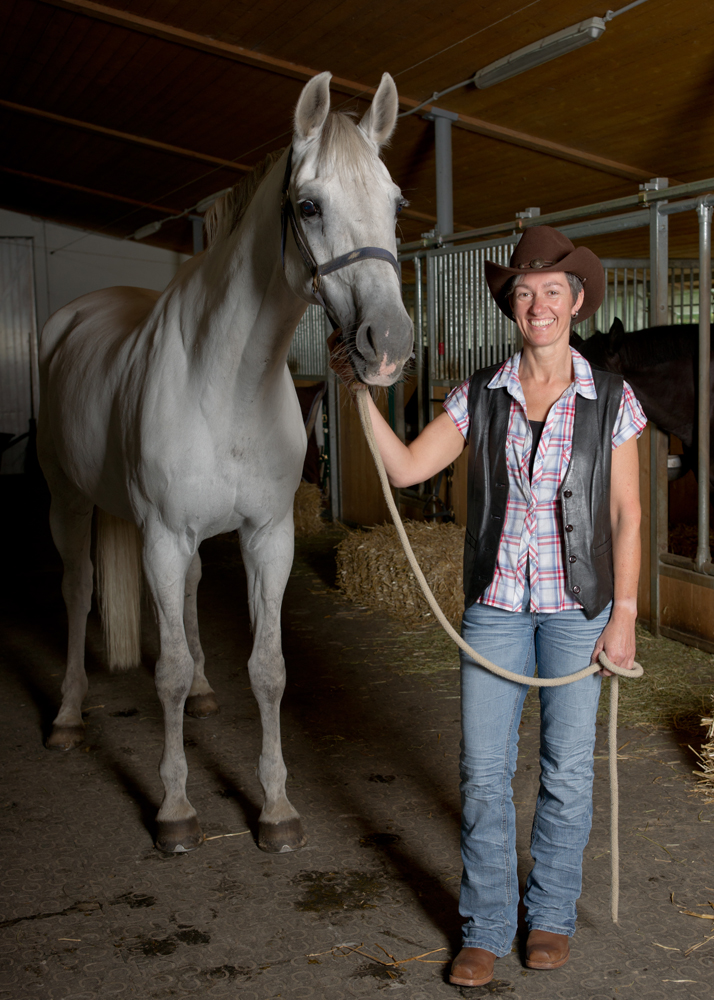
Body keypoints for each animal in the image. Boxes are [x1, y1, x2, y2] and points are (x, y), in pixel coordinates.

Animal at [37, 72, 412, 852]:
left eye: (395, 203)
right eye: (309, 205)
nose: (387, 341)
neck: (229, 380)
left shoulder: (267, 535)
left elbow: (266, 669)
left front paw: (276, 809)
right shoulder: (161, 535)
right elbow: (169, 672)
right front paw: (175, 810)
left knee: (185, 598)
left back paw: (208, 696)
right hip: (69, 499)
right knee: (79, 590)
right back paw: (67, 717)